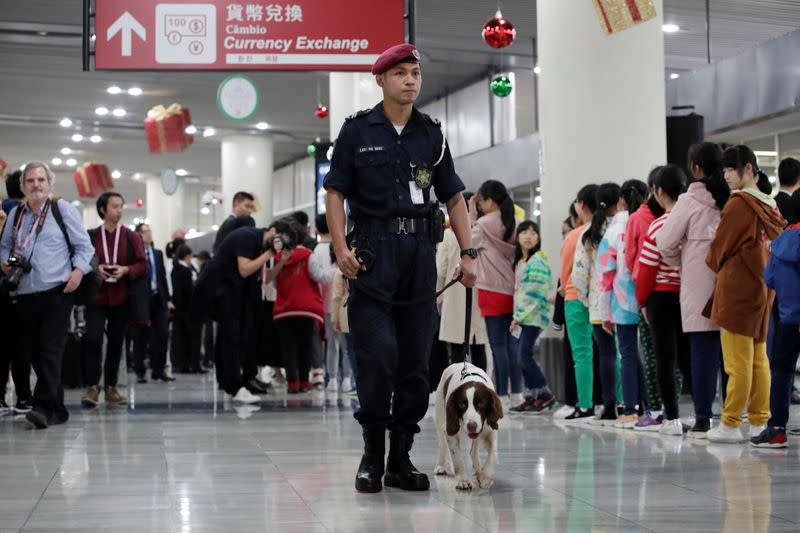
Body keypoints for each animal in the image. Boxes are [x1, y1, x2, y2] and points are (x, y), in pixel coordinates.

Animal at [434, 360, 504, 488]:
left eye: (481, 404)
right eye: (462, 404)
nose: (472, 426)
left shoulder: (490, 429)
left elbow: (494, 453)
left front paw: (485, 476)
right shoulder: (449, 430)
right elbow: (457, 458)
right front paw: (463, 480)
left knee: (473, 451)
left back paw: (478, 471)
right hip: (440, 415)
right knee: (442, 444)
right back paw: (441, 466)